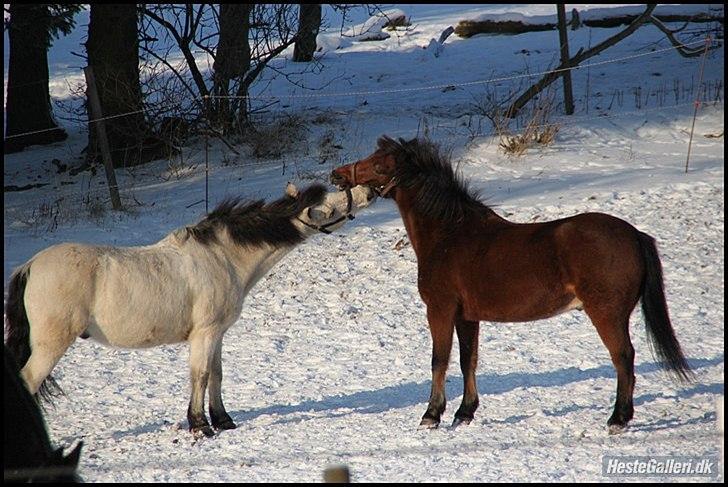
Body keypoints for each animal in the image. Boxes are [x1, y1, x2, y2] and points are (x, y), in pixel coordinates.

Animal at [2, 185, 372, 436]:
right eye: (329, 205)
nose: (366, 191)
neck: (222, 256)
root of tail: (29, 266)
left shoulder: (217, 334)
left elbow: (217, 375)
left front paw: (223, 421)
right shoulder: (204, 333)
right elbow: (200, 375)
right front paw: (200, 426)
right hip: (50, 345)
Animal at [332, 136, 692, 434]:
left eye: (380, 165)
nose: (338, 174)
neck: (450, 234)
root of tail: (635, 235)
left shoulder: (440, 310)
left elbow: (439, 359)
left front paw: (432, 415)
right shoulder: (467, 317)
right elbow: (468, 360)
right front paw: (464, 413)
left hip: (607, 314)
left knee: (623, 357)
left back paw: (618, 419)